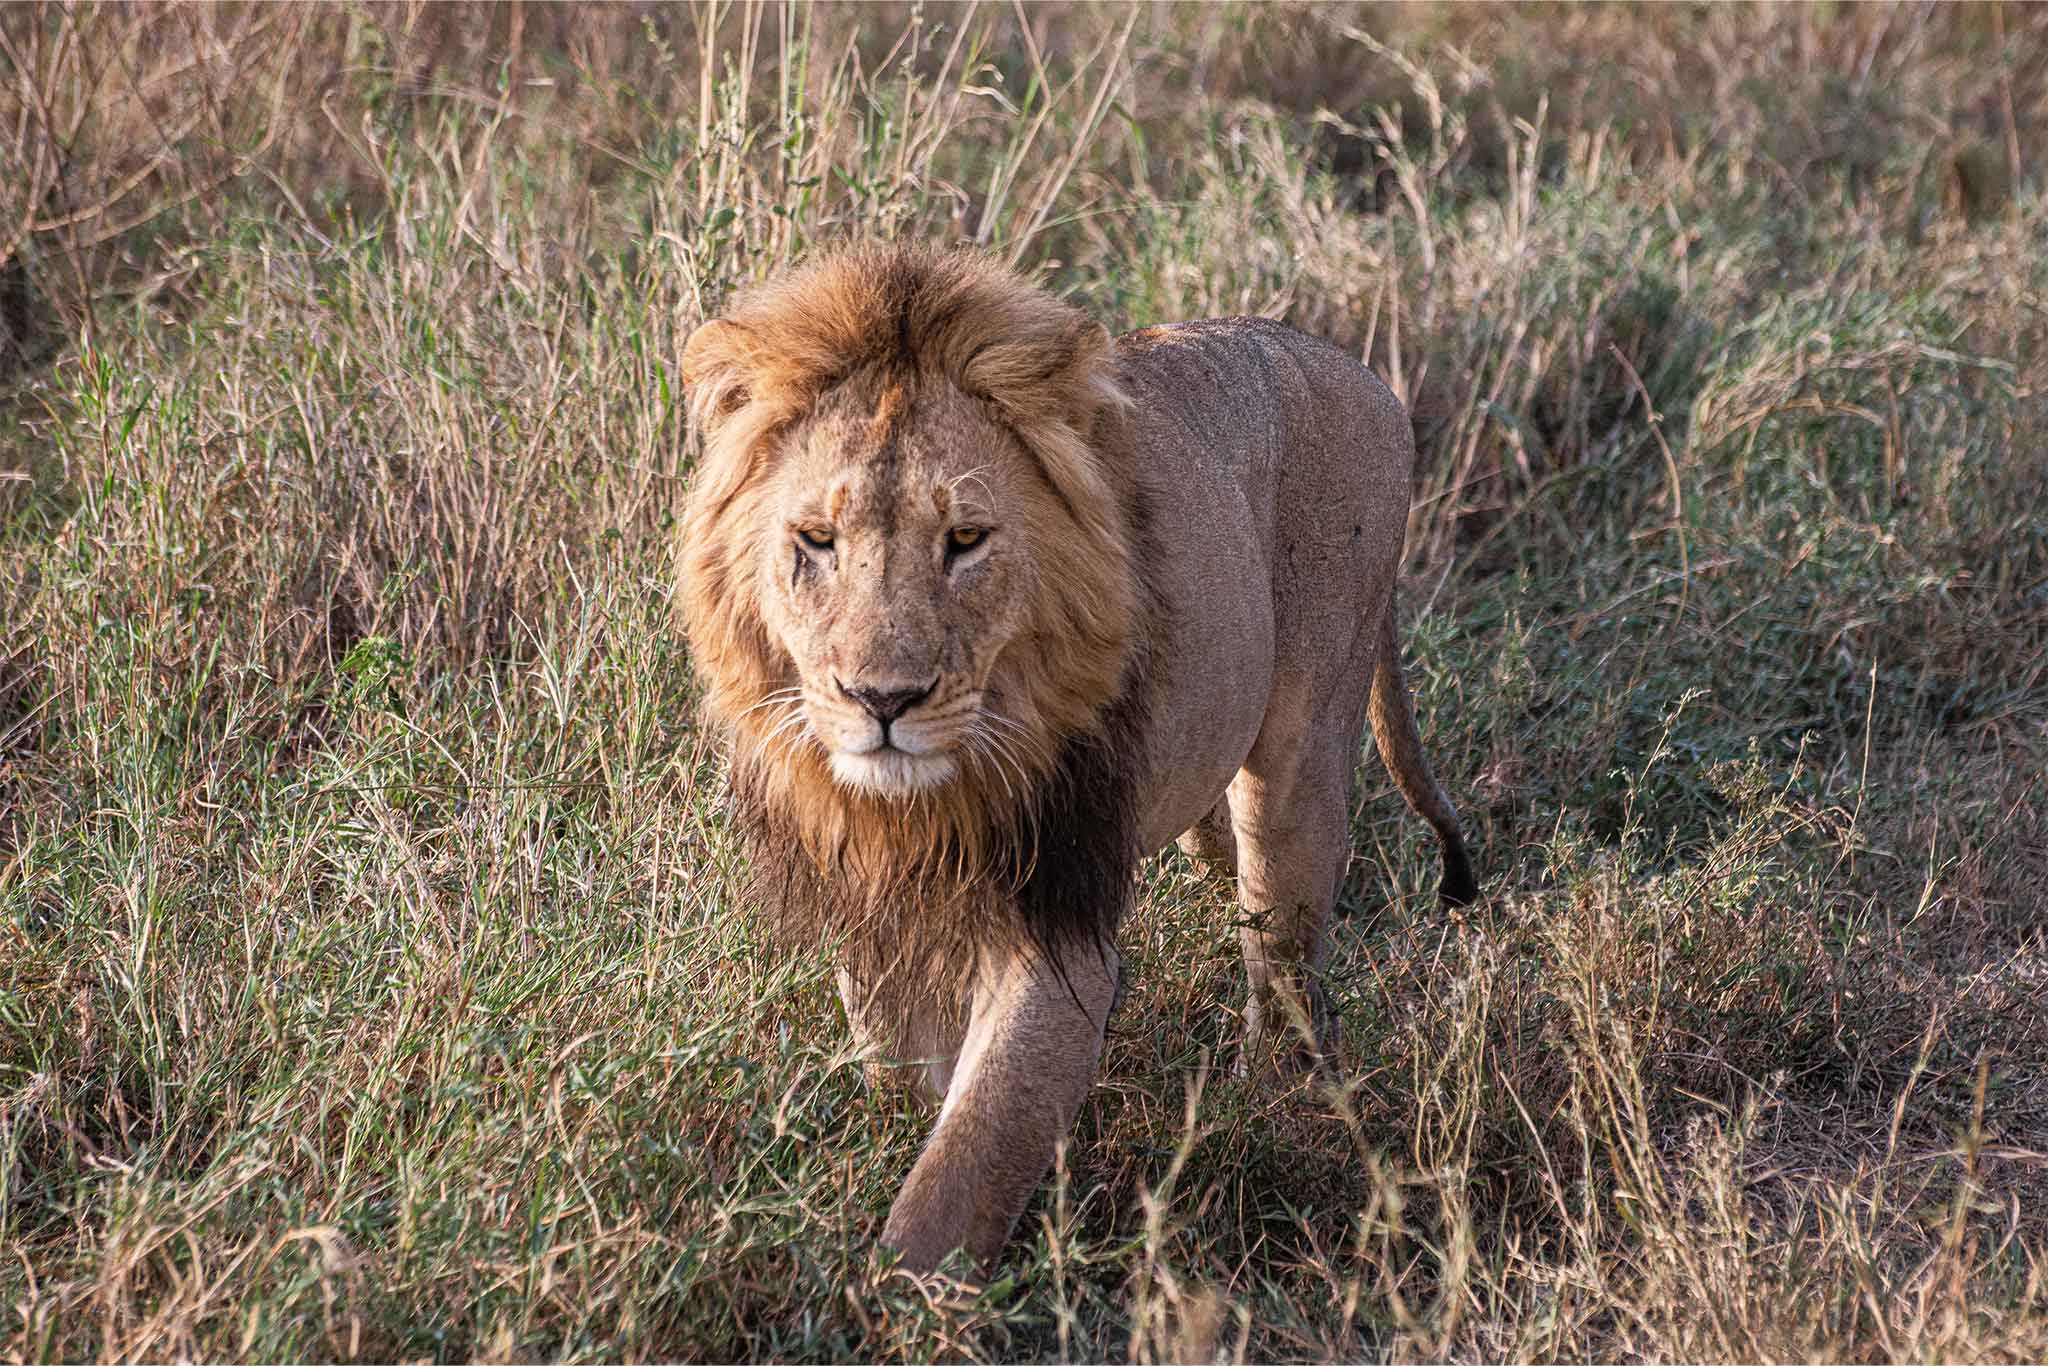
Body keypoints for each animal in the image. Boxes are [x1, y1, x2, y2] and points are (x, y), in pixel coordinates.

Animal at [678, 243, 1476, 1274]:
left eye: (965, 541)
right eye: (816, 541)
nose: (882, 701)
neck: (930, 802)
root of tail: (1359, 370)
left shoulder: (1057, 921)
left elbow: (968, 1157)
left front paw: (893, 1292)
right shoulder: (874, 905)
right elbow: (901, 1077)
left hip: (1303, 752)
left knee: (1286, 951)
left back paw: (1274, 1110)